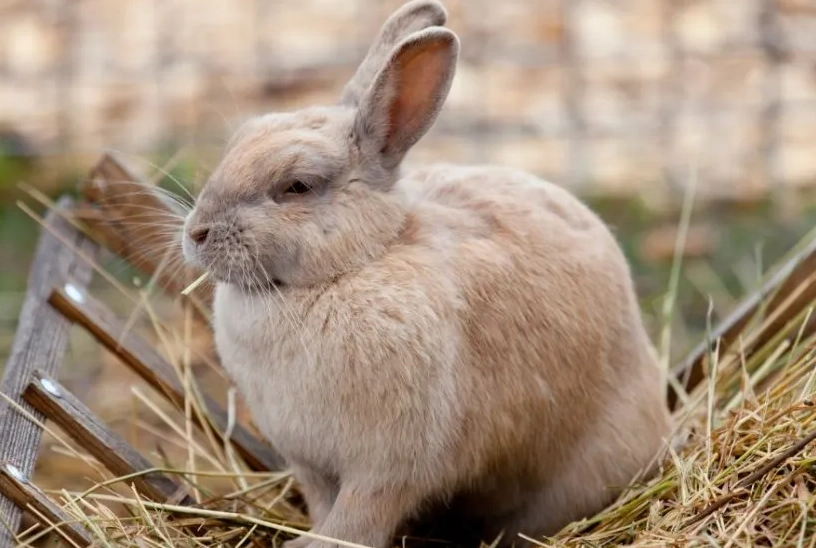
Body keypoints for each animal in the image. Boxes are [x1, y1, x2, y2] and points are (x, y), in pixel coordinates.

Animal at [181, 1, 673, 547]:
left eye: (297, 186)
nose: (196, 232)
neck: (357, 263)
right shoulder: (311, 464)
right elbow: (323, 504)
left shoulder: (387, 467)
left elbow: (357, 518)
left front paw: (313, 543)